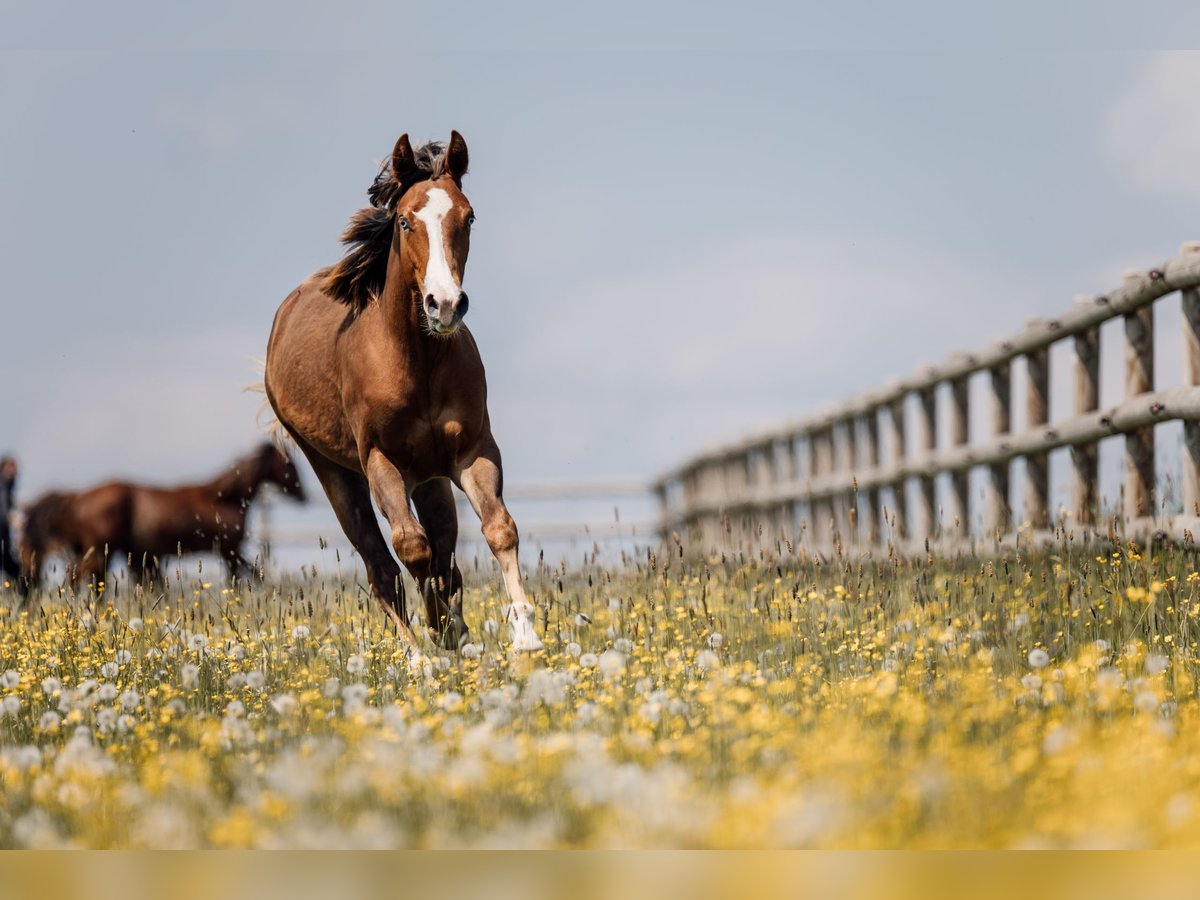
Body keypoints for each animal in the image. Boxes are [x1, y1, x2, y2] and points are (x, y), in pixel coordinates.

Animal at [19, 443, 305, 590]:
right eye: (289, 463)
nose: (304, 494)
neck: (223, 499)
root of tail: (78, 499)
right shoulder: (229, 550)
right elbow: (249, 576)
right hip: (101, 550)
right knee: (80, 576)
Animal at [264, 131, 543, 652]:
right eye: (404, 220)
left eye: (468, 216)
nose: (445, 305)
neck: (416, 361)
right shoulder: (381, 461)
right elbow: (412, 549)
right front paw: (436, 635)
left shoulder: (473, 450)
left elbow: (498, 530)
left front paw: (524, 635)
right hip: (335, 472)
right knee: (382, 565)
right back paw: (420, 652)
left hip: (430, 477)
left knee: (445, 552)